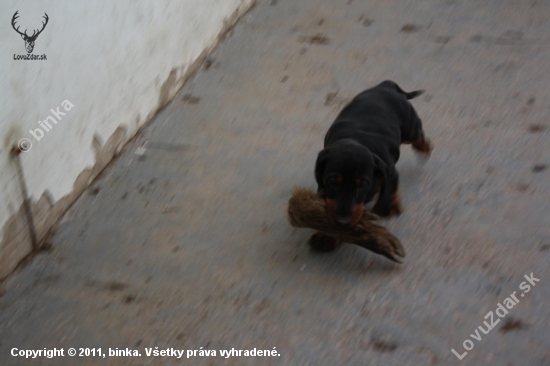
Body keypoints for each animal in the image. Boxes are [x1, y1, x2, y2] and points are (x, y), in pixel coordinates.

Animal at [312, 80, 434, 252]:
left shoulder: (390, 173)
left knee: (418, 133)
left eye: (363, 184)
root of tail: (387, 86)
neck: (354, 140)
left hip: (410, 128)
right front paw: (326, 236)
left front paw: (389, 207)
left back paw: (424, 147)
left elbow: (388, 191)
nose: (343, 222)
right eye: (332, 181)